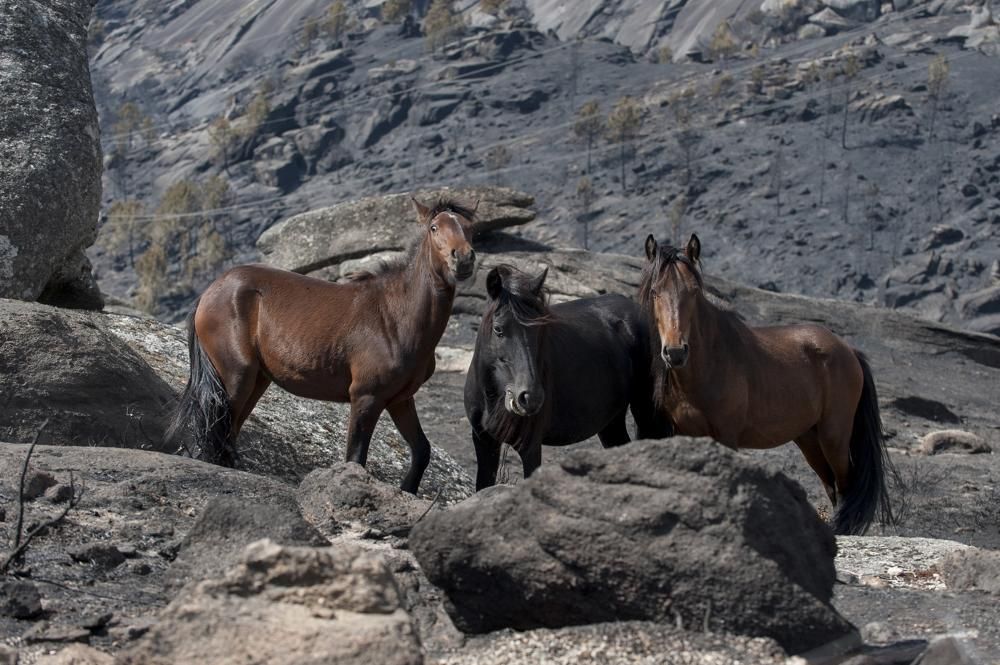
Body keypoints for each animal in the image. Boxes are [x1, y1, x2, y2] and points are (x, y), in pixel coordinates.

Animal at [169, 197, 480, 492]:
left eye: (469, 227)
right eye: (434, 227)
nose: (463, 259)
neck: (394, 315)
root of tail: (210, 292)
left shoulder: (400, 399)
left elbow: (422, 450)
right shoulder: (366, 398)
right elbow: (355, 458)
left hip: (256, 381)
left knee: (228, 432)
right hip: (236, 377)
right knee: (216, 429)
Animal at [462, 264, 668, 488]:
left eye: (539, 330)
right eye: (498, 329)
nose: (530, 397)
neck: (491, 395)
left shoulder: (530, 446)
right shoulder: (483, 441)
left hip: (646, 412)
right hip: (611, 422)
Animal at [640, 233, 900, 536]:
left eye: (693, 291)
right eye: (655, 292)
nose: (675, 352)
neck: (709, 364)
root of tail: (848, 350)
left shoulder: (726, 436)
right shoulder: (685, 433)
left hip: (834, 436)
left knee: (846, 485)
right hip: (810, 440)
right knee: (832, 487)